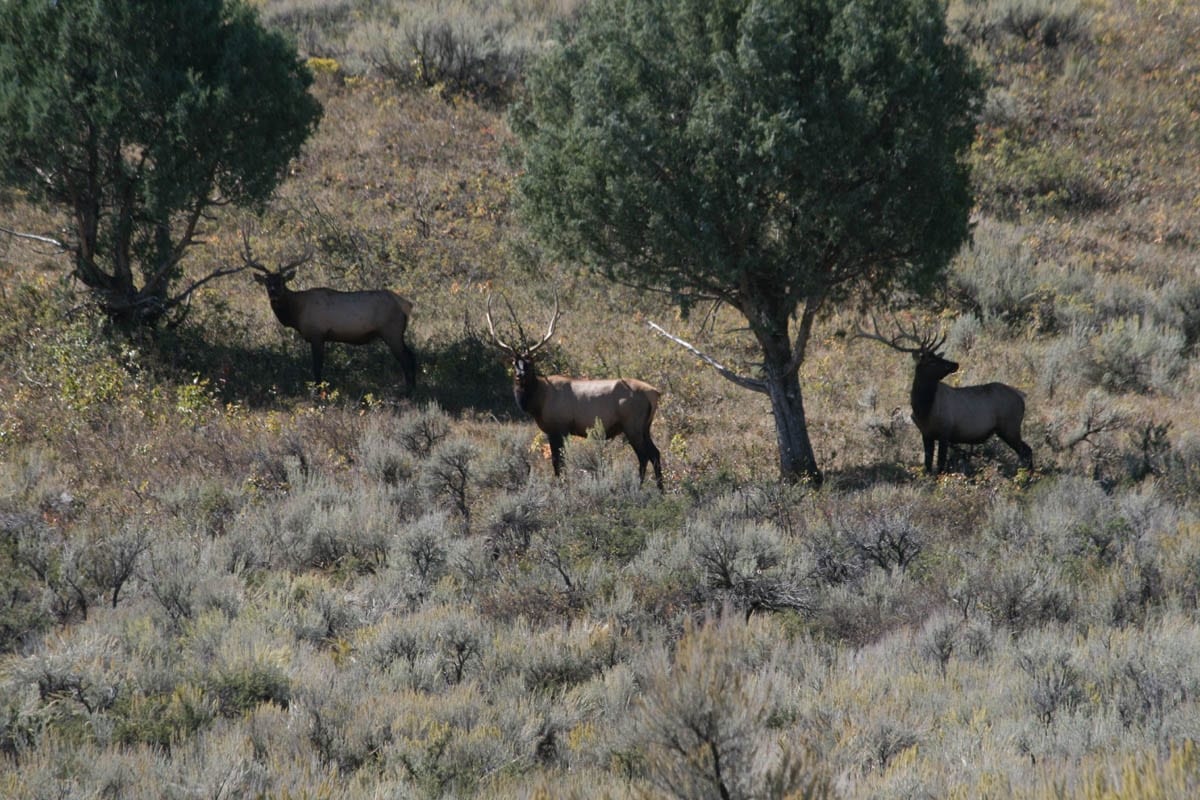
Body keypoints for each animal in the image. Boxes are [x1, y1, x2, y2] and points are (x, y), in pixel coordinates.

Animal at [243, 232, 417, 389]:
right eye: (267, 283)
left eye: (281, 282)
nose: (274, 294)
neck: (296, 312)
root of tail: (406, 304)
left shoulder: (317, 334)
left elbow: (317, 367)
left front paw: (319, 391)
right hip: (396, 333)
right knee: (411, 355)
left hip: (391, 330)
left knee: (407, 359)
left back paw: (409, 392)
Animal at [485, 295, 664, 490]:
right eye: (513, 362)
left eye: (530, 362)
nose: (521, 375)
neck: (538, 400)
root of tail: (655, 393)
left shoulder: (559, 428)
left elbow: (558, 462)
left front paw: (561, 486)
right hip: (645, 426)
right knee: (656, 453)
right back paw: (660, 489)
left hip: (632, 425)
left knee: (644, 456)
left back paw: (639, 487)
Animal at [855, 317, 1033, 475]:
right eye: (931, 361)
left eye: (937, 357)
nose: (955, 364)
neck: (924, 409)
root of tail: (1021, 396)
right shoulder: (926, 433)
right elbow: (928, 464)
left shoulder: (945, 431)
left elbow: (940, 465)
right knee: (1026, 450)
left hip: (1010, 426)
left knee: (1026, 450)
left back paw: (1027, 477)